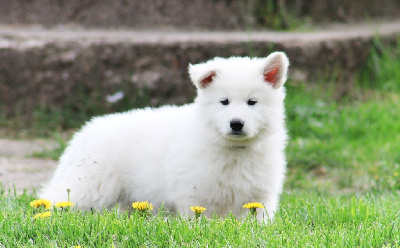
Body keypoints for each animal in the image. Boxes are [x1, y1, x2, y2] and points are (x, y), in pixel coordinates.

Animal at [40, 51, 290, 221]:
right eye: (224, 101)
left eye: (252, 102)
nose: (236, 124)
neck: (235, 151)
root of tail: (85, 132)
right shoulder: (194, 196)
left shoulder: (260, 198)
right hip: (88, 185)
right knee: (56, 198)